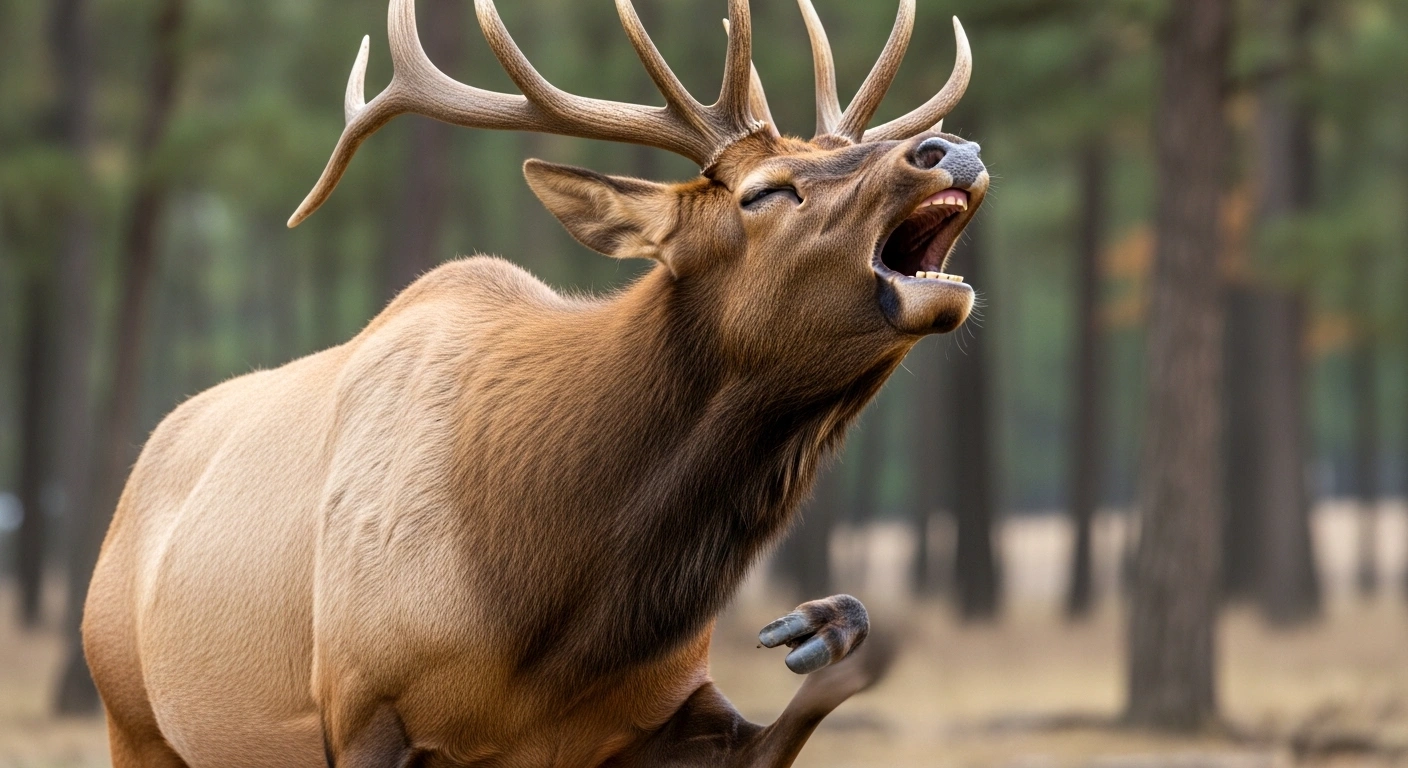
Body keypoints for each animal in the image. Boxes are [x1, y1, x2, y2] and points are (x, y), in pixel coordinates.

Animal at [81, 0, 987, 765]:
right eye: (766, 191)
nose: (953, 149)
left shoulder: (661, 710)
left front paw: (819, 623)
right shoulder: (358, 699)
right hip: (131, 714)